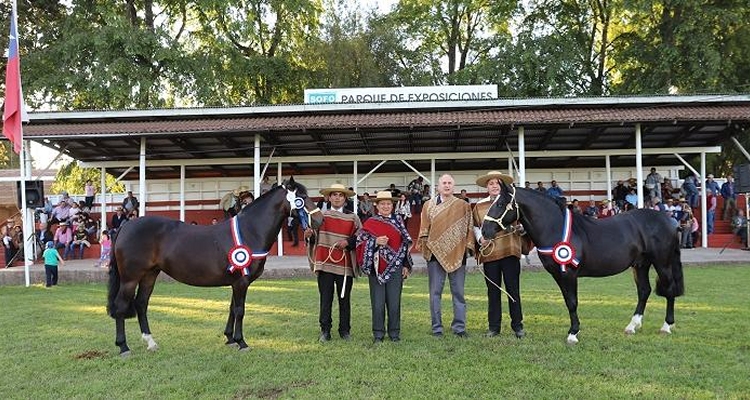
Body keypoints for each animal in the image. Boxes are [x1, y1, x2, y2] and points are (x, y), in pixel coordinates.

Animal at [106, 179, 324, 356]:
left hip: (149, 275)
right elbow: (240, 310)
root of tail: (125, 226)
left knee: (141, 304)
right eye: (302, 197)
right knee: (121, 306)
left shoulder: (237, 282)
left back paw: (151, 343)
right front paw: (242, 342)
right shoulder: (241, 282)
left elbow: (232, 308)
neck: (250, 230)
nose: (320, 220)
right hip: (130, 279)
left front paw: (230, 338)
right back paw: (123, 347)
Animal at [482, 184, 688, 344]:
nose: (484, 231)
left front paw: (573, 334)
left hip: (662, 263)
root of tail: (670, 219)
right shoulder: (558, 275)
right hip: (640, 265)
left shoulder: (569, 274)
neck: (555, 227)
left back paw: (666, 326)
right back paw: (632, 326)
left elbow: (573, 302)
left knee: (669, 290)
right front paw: (574, 330)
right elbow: (568, 302)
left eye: (500, 204)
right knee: (644, 291)